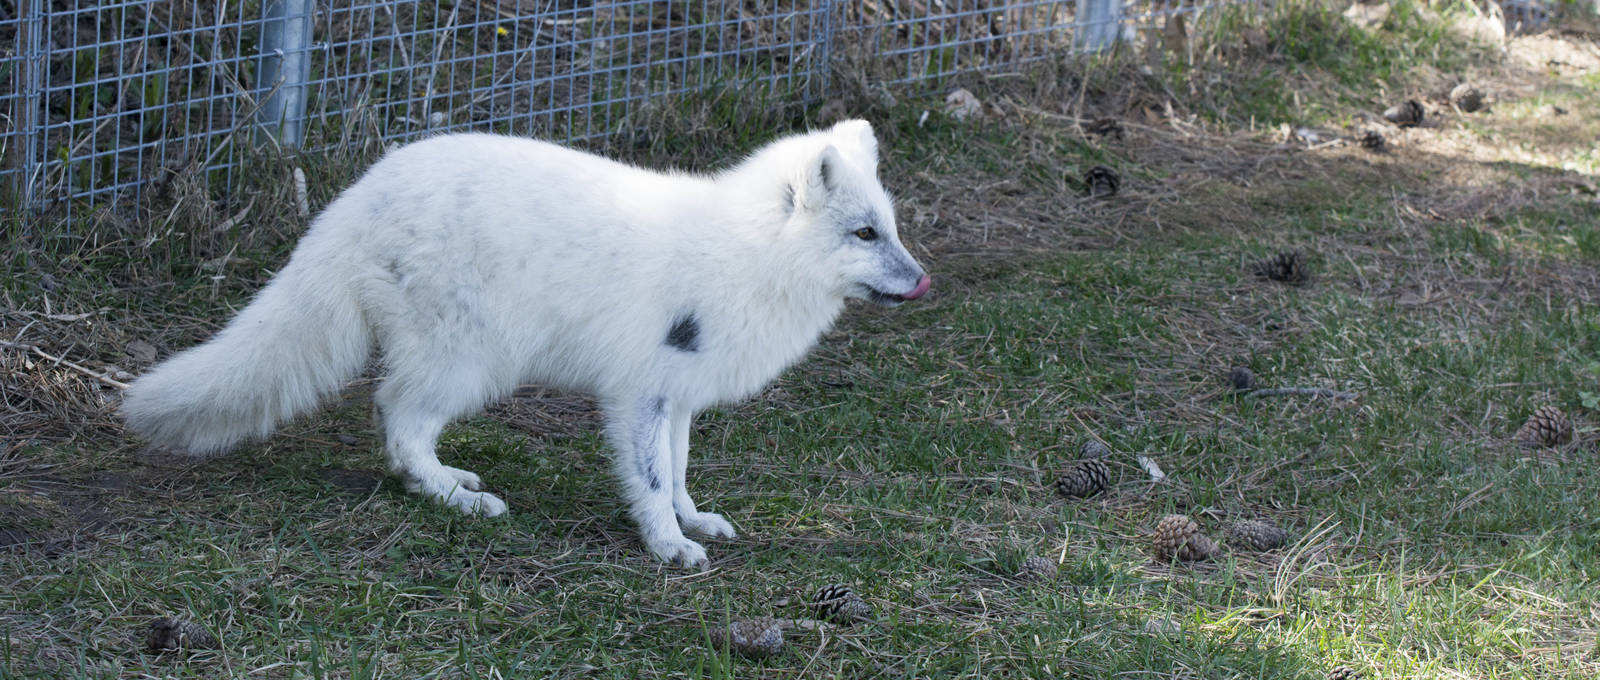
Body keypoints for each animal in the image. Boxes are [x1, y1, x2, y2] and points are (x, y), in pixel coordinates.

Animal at [121, 120, 930, 566]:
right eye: (863, 234)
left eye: (889, 227)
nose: (923, 281)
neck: (746, 252)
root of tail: (354, 201)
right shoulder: (638, 395)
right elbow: (651, 482)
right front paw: (668, 545)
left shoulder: (676, 398)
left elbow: (678, 471)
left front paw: (693, 519)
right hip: (471, 361)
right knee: (396, 417)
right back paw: (455, 498)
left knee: (397, 422)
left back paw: (446, 480)